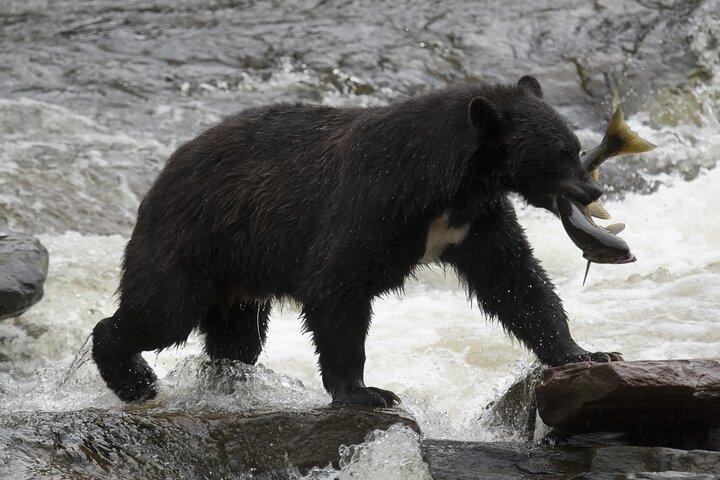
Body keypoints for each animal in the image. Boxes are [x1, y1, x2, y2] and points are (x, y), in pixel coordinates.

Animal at [92, 75, 622, 406]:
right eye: (564, 152)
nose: (593, 191)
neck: (451, 183)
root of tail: (163, 173)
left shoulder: (476, 222)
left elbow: (516, 282)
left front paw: (588, 353)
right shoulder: (374, 204)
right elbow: (337, 288)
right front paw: (365, 391)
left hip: (238, 275)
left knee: (237, 339)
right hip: (193, 241)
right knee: (162, 313)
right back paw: (134, 379)